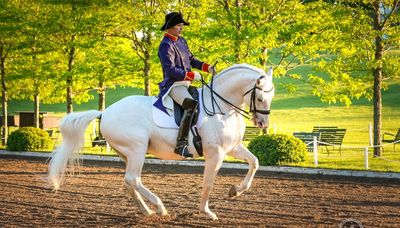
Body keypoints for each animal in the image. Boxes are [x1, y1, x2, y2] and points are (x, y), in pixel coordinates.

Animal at [48, 63, 274, 220]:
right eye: (260, 98)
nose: (262, 123)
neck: (221, 108)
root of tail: (105, 112)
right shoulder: (215, 153)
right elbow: (208, 183)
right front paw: (206, 212)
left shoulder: (232, 148)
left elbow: (255, 162)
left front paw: (235, 191)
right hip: (137, 149)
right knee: (133, 179)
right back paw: (160, 207)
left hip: (127, 154)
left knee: (129, 182)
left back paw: (147, 210)